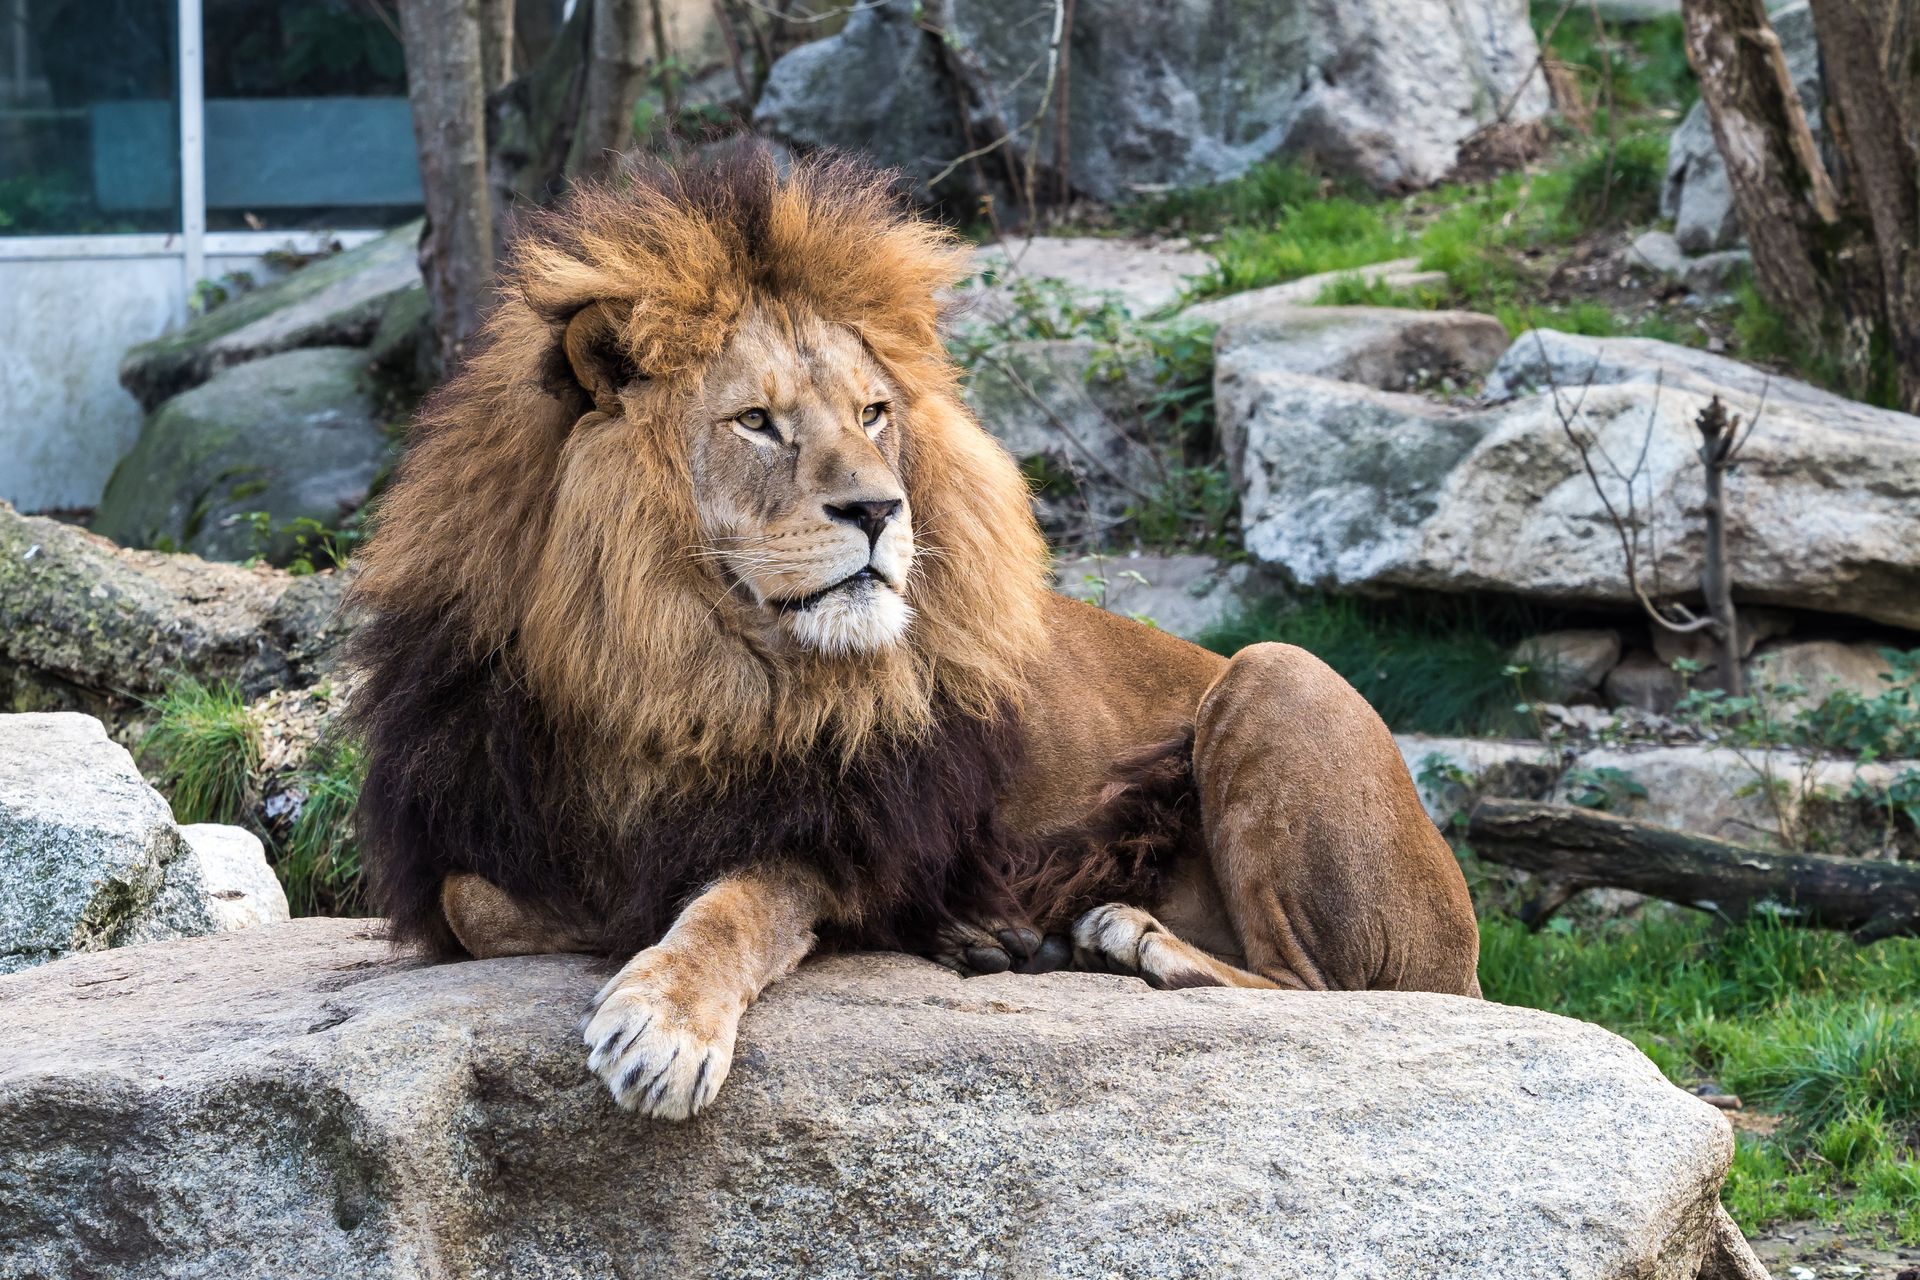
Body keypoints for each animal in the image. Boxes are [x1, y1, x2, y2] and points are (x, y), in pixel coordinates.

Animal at [345, 145, 1480, 1122]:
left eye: (873, 413)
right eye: (757, 422)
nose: (879, 509)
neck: (669, 663)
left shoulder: (841, 832)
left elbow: (734, 902)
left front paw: (663, 1016)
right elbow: (477, 900)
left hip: (1275, 672)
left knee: (1324, 992)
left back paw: (1127, 937)